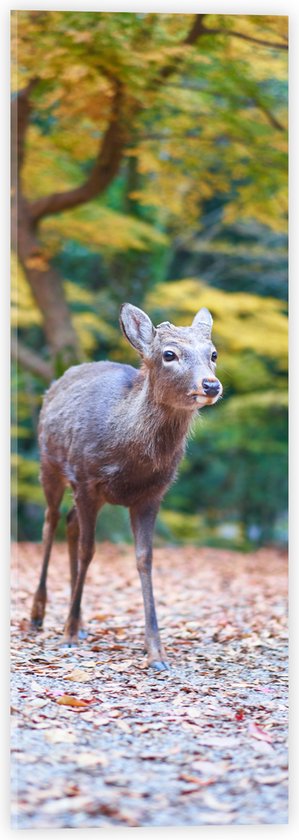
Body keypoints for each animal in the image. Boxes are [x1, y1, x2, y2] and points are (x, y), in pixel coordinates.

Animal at [31, 304, 223, 668]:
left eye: (213, 354)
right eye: (169, 354)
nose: (211, 384)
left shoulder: (152, 495)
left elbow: (144, 558)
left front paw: (156, 652)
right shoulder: (87, 480)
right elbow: (89, 550)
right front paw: (66, 635)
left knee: (69, 522)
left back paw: (81, 622)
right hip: (50, 463)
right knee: (50, 521)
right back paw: (39, 615)